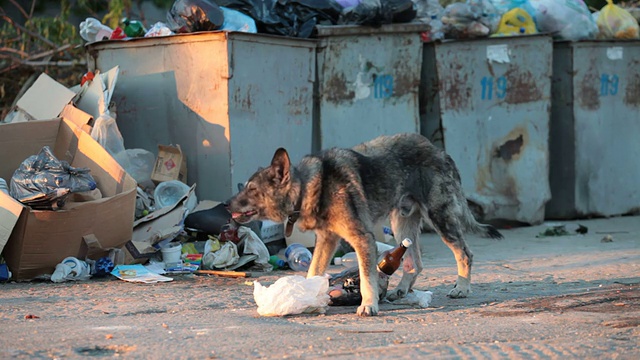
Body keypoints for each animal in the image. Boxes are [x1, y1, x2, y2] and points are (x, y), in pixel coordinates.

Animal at [228, 134, 502, 316]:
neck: (307, 186)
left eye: (251, 190)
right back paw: (402, 290)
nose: (227, 206)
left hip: (440, 219)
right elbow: (313, 270)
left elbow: (367, 277)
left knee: (464, 253)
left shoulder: (362, 239)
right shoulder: (327, 240)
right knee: (415, 263)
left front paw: (368, 304)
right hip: (402, 224)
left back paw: (462, 287)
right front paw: (307, 294)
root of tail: (440, 151)